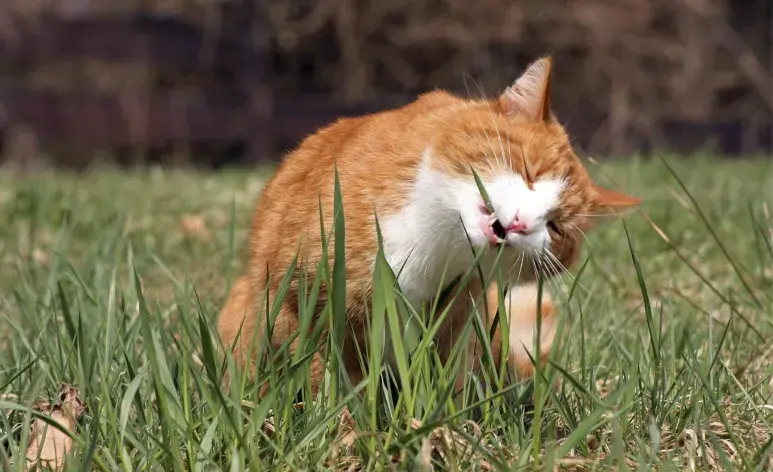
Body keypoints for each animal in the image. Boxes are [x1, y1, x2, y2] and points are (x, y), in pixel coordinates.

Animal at [216, 56, 640, 398]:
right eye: (529, 172)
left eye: (556, 227)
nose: (521, 222)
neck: (433, 241)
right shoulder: (302, 307)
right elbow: (326, 382)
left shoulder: (456, 321)